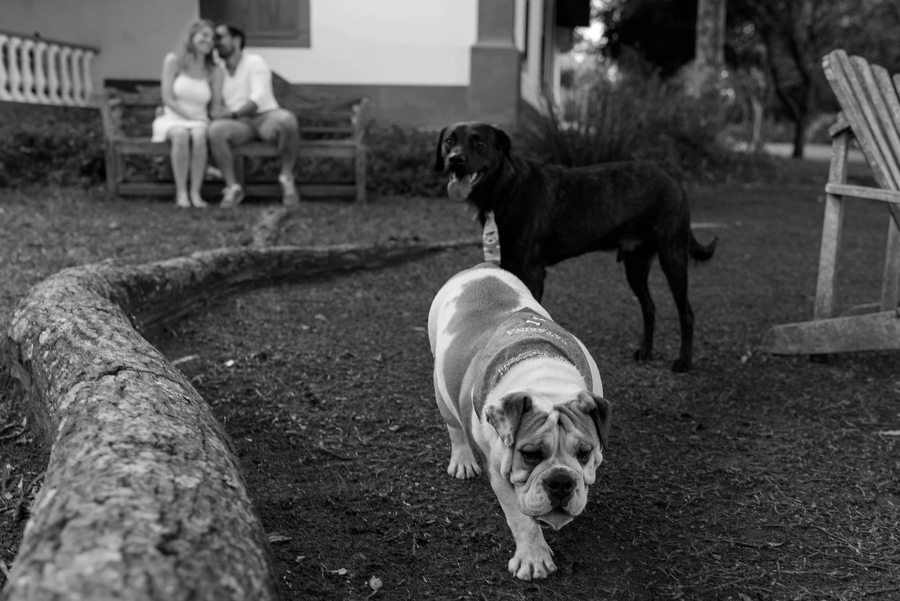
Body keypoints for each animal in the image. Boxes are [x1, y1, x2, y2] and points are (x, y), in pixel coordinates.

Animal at [434, 122, 716, 370]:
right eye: (449, 141)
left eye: (479, 142)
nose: (455, 159)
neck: (504, 189)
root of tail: (673, 180)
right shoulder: (510, 265)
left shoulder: (532, 272)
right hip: (635, 266)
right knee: (650, 308)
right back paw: (646, 351)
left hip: (672, 256)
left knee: (686, 313)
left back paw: (684, 362)